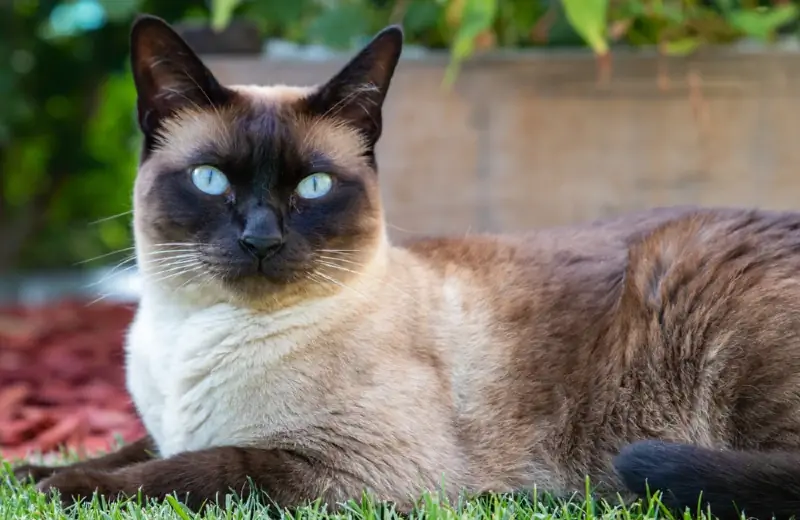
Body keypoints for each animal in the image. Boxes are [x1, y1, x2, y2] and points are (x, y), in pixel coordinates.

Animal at [12, 12, 800, 520]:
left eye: (313, 187)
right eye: (211, 181)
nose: (261, 239)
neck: (193, 334)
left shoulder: (353, 468)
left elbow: (197, 467)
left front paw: (58, 494)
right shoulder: (169, 425)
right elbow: (129, 449)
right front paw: (30, 473)